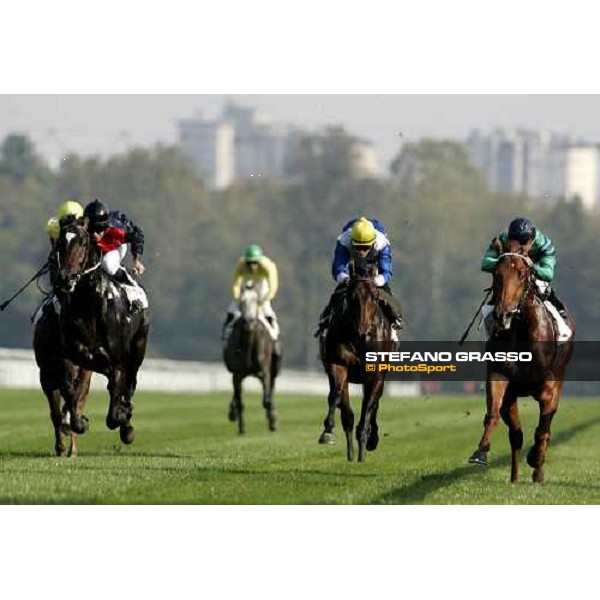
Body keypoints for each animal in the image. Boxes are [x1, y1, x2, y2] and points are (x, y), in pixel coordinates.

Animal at [53, 219, 149, 446]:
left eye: (82, 241)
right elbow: (70, 387)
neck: (90, 302)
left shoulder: (119, 358)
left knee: (130, 383)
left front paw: (122, 415)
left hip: (139, 346)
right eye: (60, 242)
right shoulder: (71, 352)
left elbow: (114, 411)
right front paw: (78, 422)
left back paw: (127, 423)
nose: (66, 278)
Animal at [223, 282, 282, 432]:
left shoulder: (265, 371)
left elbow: (266, 400)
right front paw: (240, 425)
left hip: (274, 368)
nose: (248, 321)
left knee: (271, 388)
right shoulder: (237, 373)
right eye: (242, 301)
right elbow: (239, 400)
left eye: (255, 301)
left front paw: (272, 418)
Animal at [316, 251, 396, 462]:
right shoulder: (338, 365)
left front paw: (366, 444)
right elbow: (336, 397)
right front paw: (328, 432)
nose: (362, 331)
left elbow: (368, 408)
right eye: (351, 296)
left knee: (374, 405)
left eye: (374, 296)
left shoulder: (375, 375)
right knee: (347, 412)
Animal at [468, 238, 576, 482]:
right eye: (497, 273)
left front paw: (535, 459)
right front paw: (480, 452)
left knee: (544, 430)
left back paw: (538, 470)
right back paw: (515, 478)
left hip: (559, 378)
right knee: (516, 435)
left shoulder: (548, 386)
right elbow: (494, 415)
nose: (503, 315)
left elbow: (542, 429)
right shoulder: (500, 377)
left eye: (522, 274)